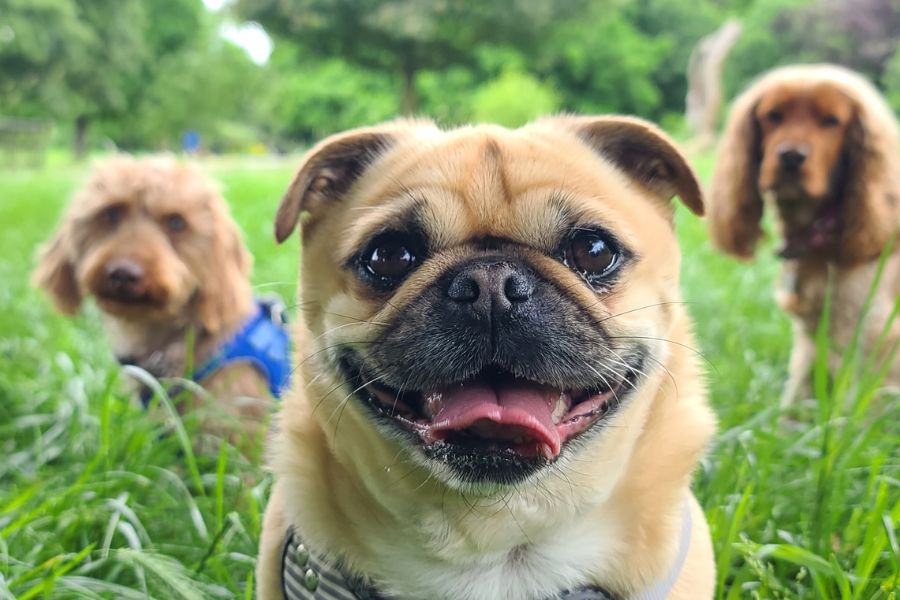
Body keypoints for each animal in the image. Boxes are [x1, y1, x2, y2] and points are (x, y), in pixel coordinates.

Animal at [712, 63, 900, 406]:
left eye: (831, 121)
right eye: (773, 115)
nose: (791, 156)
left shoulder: (872, 332)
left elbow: (855, 401)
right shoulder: (811, 336)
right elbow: (798, 391)